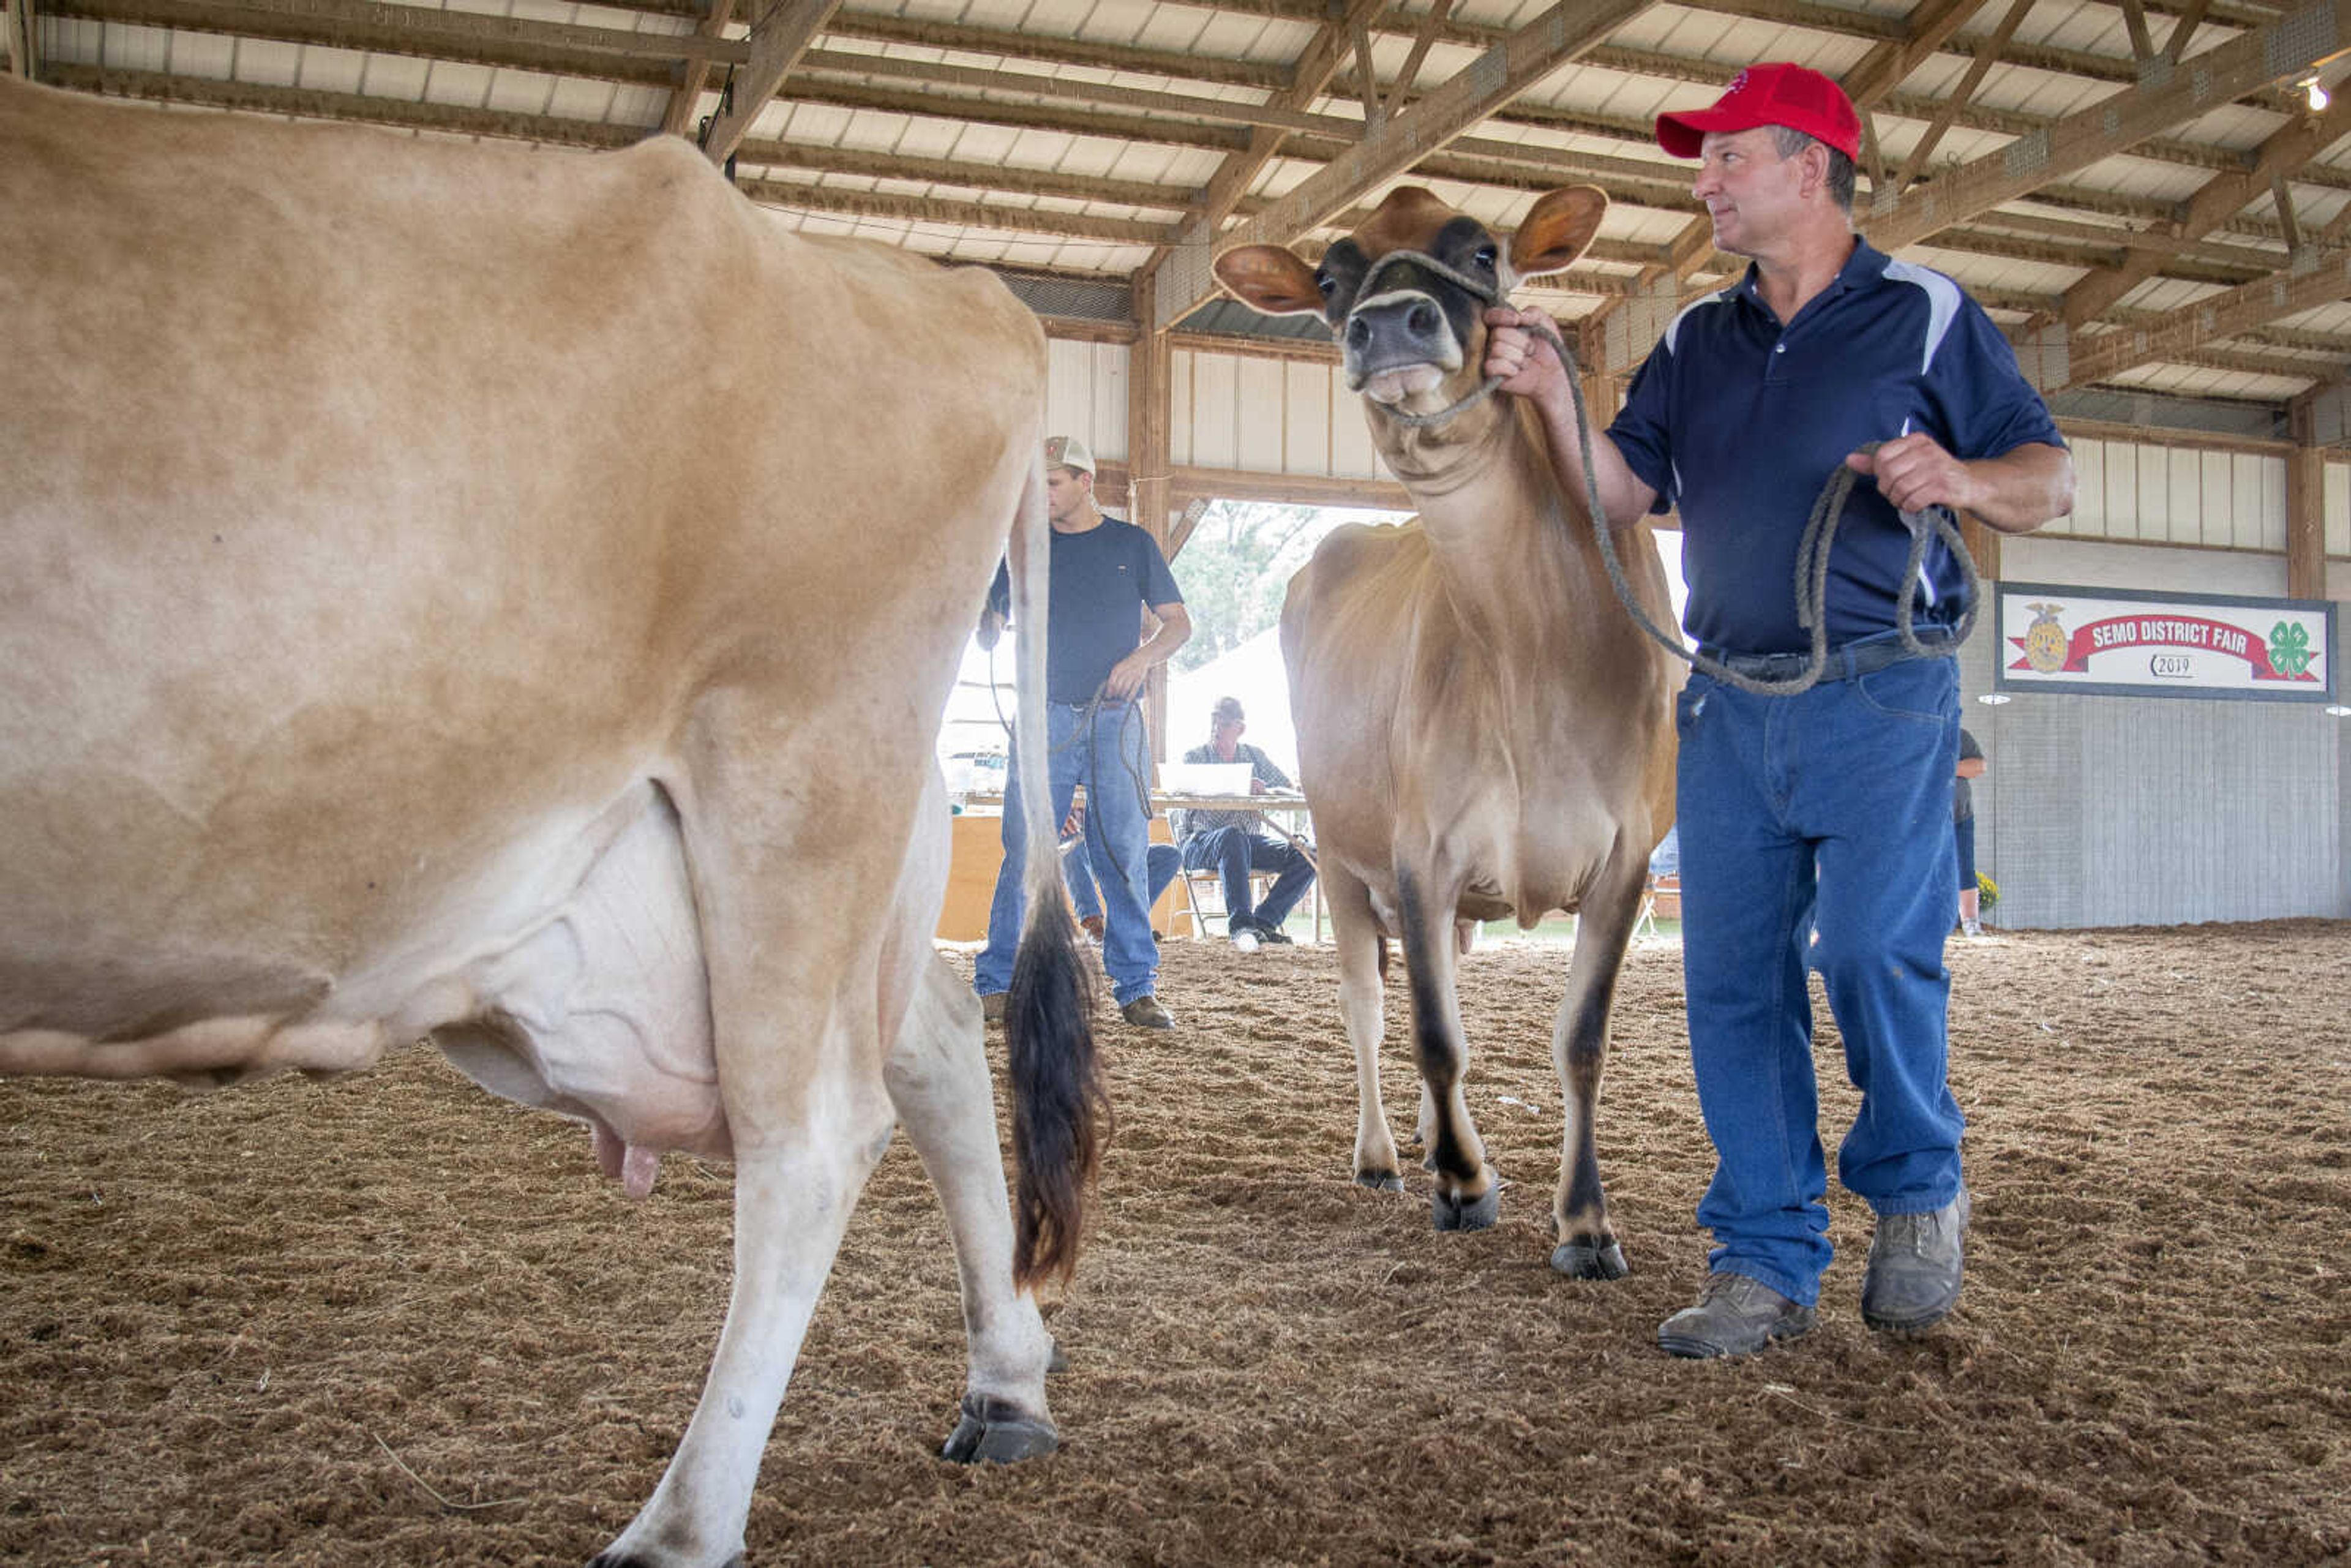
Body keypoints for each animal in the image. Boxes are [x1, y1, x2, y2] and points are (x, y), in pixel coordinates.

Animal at [0, 76, 1100, 1568]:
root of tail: (962, 285)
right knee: (925, 1030)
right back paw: (1004, 1385)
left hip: (795, 774)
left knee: (814, 1134)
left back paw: (681, 1526)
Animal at [1222, 190, 1683, 1278]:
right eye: (1330, 278)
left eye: (1482, 252)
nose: (1389, 322)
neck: (1534, 647)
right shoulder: (1418, 848)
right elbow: (1433, 1034)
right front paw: (1466, 1185)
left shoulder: (1628, 856)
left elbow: (1579, 1040)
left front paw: (1585, 1223)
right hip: (1339, 854)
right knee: (1368, 1005)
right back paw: (1392, 1156)